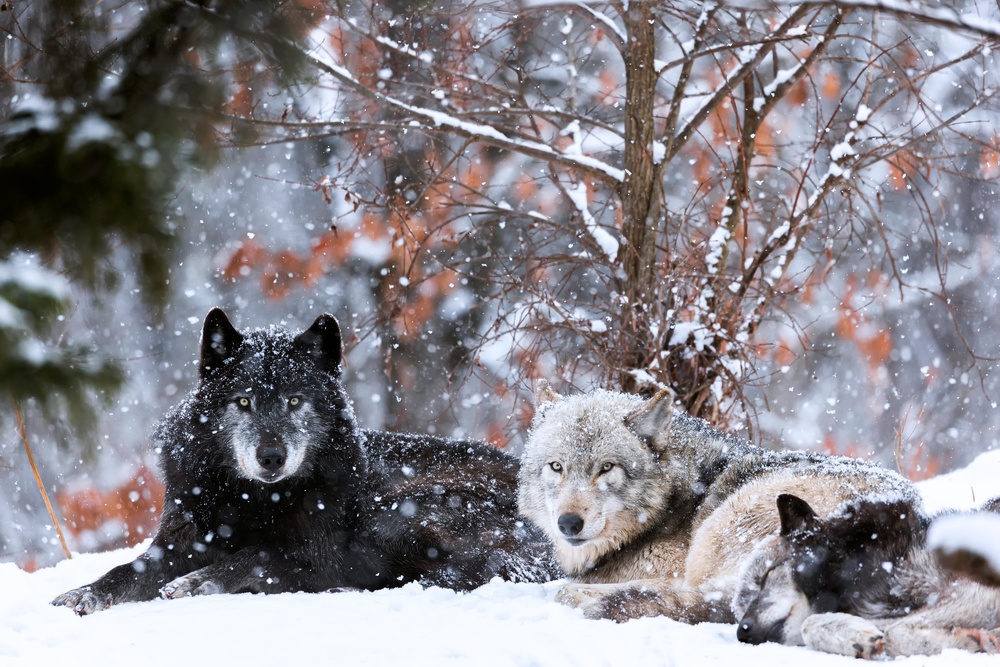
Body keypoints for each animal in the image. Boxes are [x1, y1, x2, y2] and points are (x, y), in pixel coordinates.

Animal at [50, 310, 560, 616]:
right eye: (244, 402)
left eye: (295, 400)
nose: (271, 456)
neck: (252, 499)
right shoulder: (179, 541)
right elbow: (126, 570)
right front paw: (84, 593)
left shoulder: (318, 553)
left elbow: (256, 556)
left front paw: (198, 582)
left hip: (398, 512)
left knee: (447, 576)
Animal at [736, 496, 1000, 656]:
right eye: (741, 610)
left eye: (766, 576)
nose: (742, 631)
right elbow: (810, 624)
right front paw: (856, 637)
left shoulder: (976, 590)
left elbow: (895, 635)